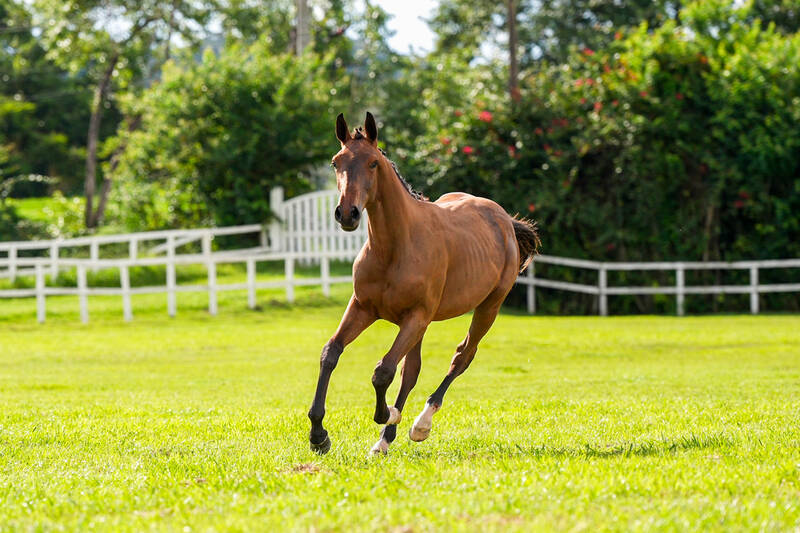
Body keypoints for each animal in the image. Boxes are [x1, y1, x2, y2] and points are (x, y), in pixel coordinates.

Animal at [306, 111, 536, 454]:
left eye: (373, 163)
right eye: (336, 162)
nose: (346, 214)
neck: (394, 248)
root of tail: (505, 220)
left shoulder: (415, 317)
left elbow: (383, 370)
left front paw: (387, 413)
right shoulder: (362, 308)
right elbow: (331, 353)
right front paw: (319, 435)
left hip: (487, 308)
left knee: (462, 356)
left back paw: (419, 424)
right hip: (423, 323)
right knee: (412, 370)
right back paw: (385, 440)